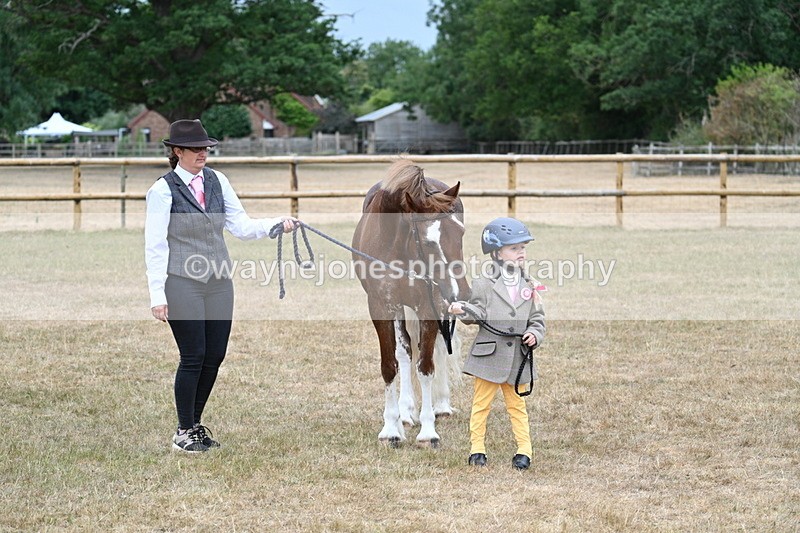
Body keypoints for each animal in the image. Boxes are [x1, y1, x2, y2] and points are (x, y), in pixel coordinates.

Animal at [352, 160, 469, 447]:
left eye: (460, 232)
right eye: (428, 241)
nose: (461, 292)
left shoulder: (430, 305)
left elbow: (426, 366)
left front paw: (428, 431)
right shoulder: (381, 308)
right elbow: (390, 365)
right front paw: (390, 429)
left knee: (437, 348)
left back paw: (441, 406)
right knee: (404, 351)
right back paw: (404, 413)